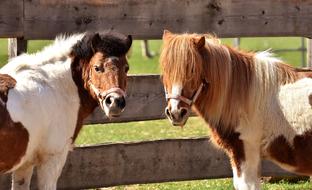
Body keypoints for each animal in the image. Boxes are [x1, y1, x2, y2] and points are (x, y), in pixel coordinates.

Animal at [0, 31, 131, 189]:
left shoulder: (25, 165)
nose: (115, 102)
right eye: (97, 67)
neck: (55, 86)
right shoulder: (52, 159)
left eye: (126, 68)